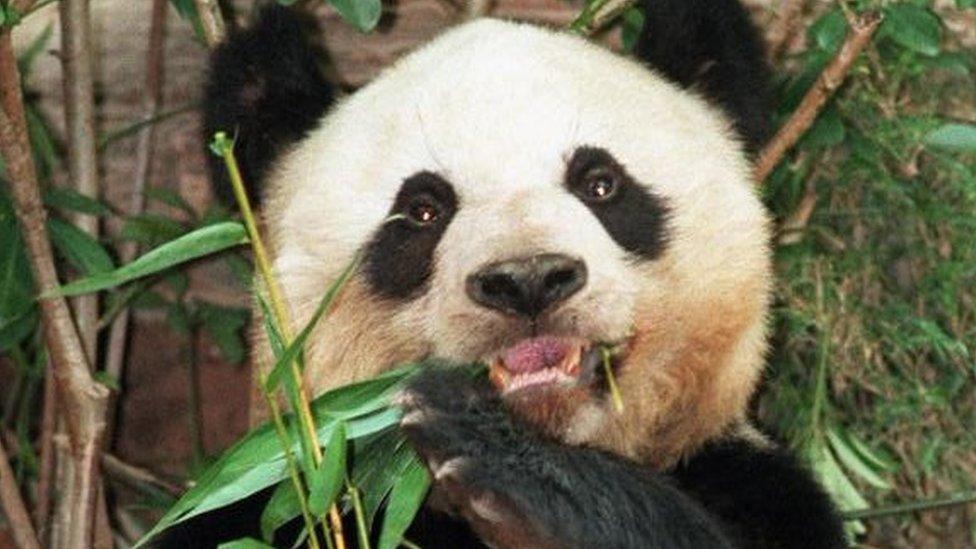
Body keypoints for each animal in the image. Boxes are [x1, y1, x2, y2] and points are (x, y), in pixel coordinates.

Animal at [181, 2, 848, 544]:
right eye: (423, 210)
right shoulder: (270, 498)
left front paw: (519, 478)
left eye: (600, 184)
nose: (528, 279)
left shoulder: (745, 481)